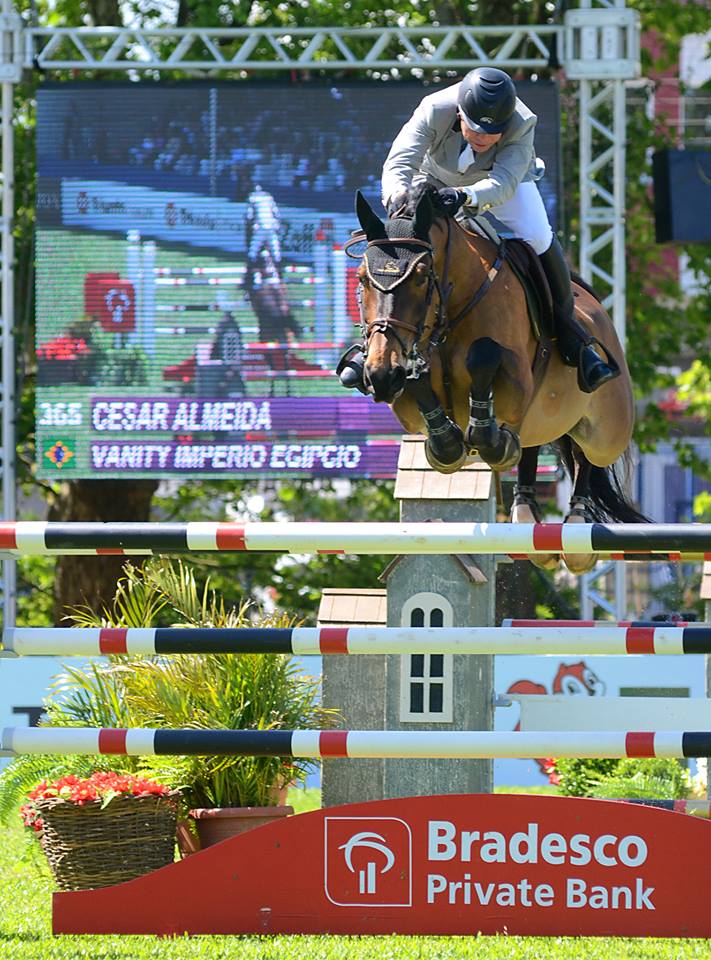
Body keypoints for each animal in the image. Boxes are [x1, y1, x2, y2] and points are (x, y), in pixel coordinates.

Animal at [348, 184, 646, 574]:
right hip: (542, 420)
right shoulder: (409, 407)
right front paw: (449, 441)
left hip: (606, 430)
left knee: (587, 457)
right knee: (532, 443)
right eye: (362, 278)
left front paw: (487, 439)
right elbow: (421, 390)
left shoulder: (516, 381)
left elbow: (483, 356)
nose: (381, 373)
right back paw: (525, 512)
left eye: (422, 275)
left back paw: (577, 523)